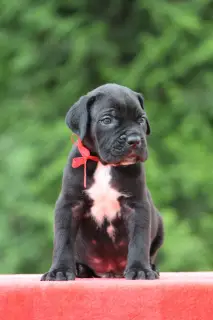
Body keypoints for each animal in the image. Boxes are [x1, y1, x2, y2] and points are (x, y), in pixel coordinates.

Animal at [40, 83, 164, 280]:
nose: (134, 140)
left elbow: (139, 240)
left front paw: (140, 270)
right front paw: (59, 270)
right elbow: (63, 239)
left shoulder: (137, 206)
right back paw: (80, 269)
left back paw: (151, 267)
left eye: (141, 120)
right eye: (107, 120)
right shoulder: (69, 205)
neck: (104, 164)